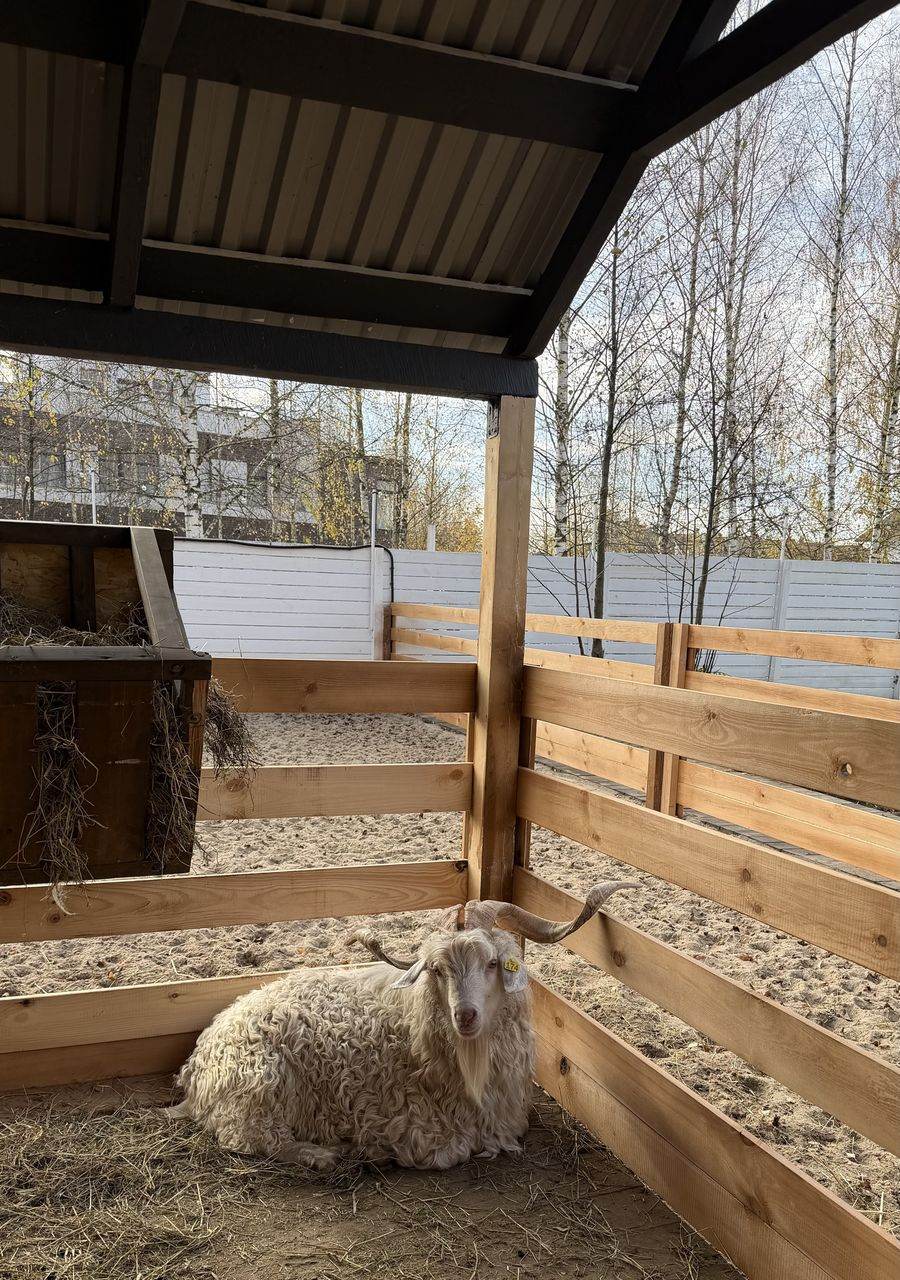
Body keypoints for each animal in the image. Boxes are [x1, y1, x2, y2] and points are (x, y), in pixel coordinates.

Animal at [167, 880, 637, 1170]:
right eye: (438, 970)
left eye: (491, 963)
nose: (464, 1016)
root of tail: (195, 1067)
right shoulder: (421, 1128)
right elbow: (459, 1147)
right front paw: (373, 1150)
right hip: (258, 1086)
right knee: (250, 1138)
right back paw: (323, 1154)